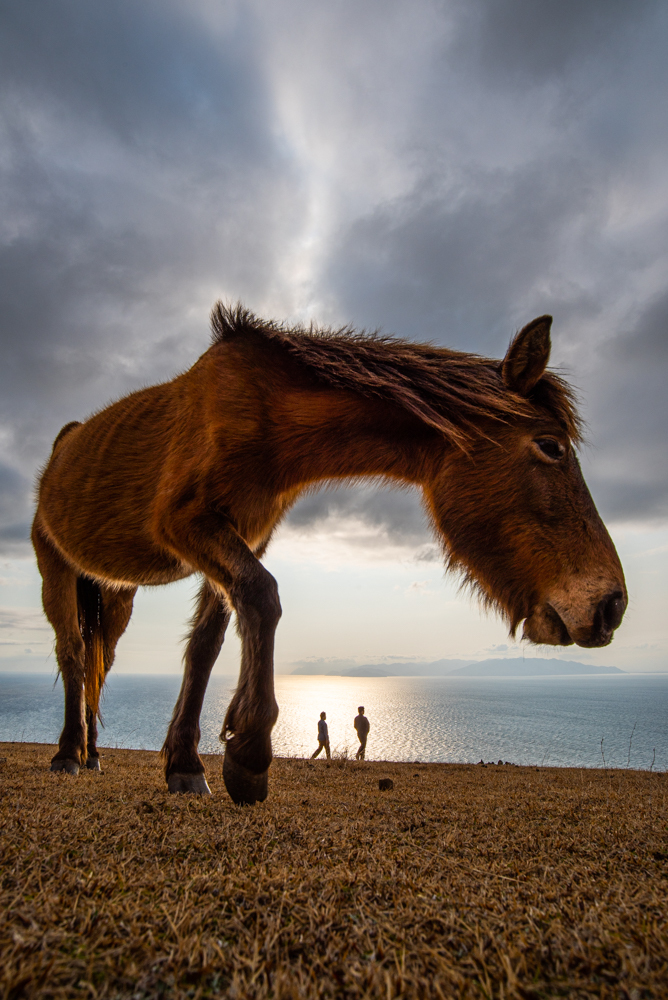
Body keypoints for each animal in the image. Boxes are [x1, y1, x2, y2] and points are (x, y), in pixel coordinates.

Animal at [31, 304, 628, 804]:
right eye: (550, 446)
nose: (612, 606)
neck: (263, 412)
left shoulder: (244, 535)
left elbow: (207, 644)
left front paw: (187, 761)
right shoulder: (186, 524)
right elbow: (262, 596)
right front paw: (249, 751)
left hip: (116, 594)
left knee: (98, 659)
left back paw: (92, 754)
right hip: (54, 568)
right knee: (74, 654)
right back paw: (67, 755)